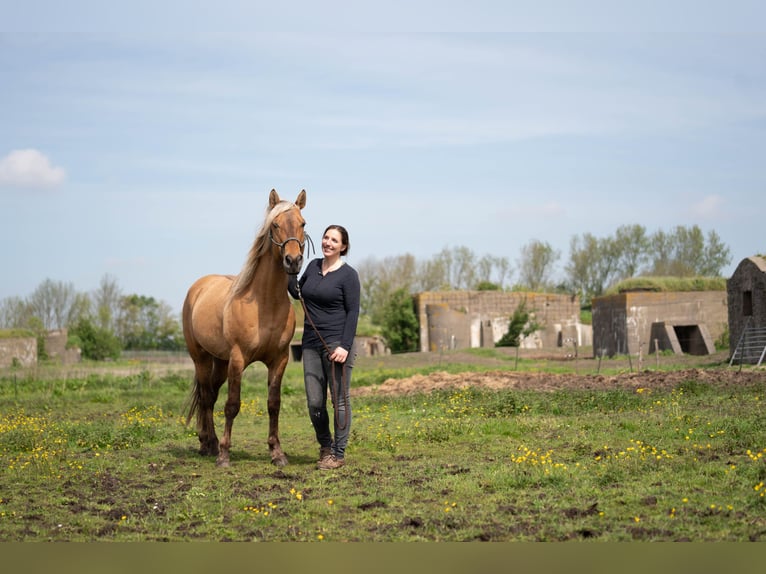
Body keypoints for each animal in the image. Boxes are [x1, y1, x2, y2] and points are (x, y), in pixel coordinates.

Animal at [183, 189, 308, 468]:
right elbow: (232, 404)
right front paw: (224, 455)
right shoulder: (238, 359)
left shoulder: (279, 360)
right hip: (202, 358)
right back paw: (209, 445)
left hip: (220, 362)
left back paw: (209, 442)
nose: (293, 261)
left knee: (211, 396)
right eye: (275, 225)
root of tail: (199, 287)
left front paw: (277, 452)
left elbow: (274, 404)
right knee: (206, 397)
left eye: (303, 224)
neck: (265, 303)